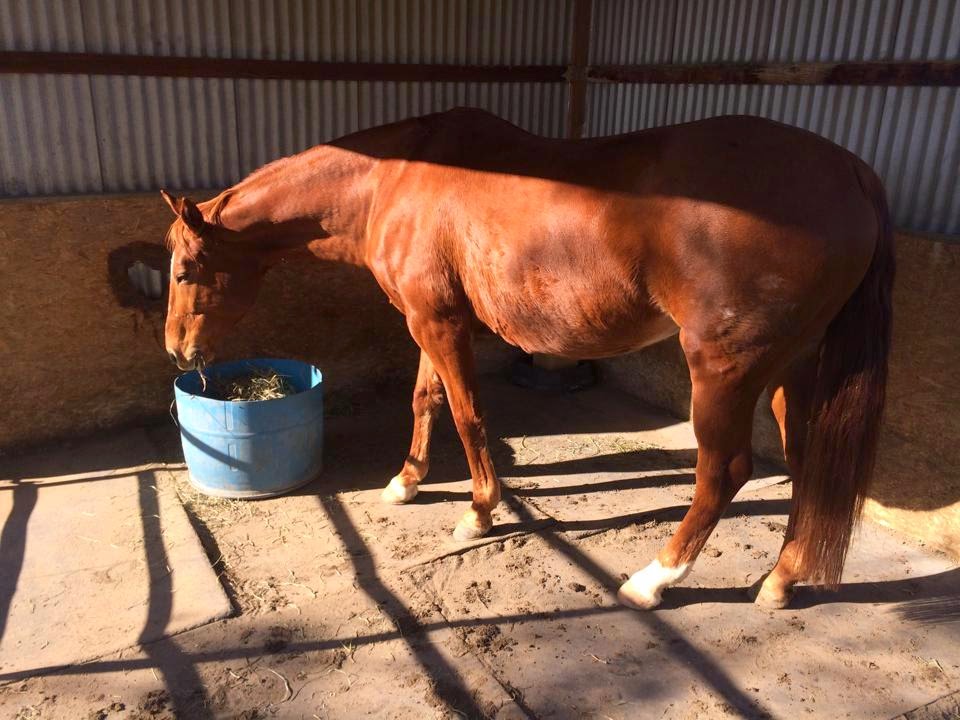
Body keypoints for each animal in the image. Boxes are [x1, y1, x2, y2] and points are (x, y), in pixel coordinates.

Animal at [162, 107, 893, 611]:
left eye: (184, 269)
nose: (177, 351)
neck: (393, 178)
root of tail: (850, 170)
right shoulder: (429, 320)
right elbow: (425, 400)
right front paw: (406, 482)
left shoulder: (439, 324)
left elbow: (468, 417)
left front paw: (477, 512)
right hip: (791, 367)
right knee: (805, 464)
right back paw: (780, 581)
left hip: (723, 370)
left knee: (725, 471)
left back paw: (652, 580)